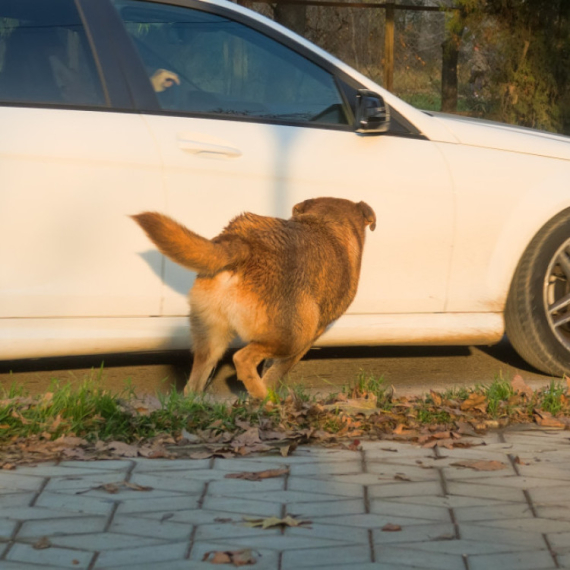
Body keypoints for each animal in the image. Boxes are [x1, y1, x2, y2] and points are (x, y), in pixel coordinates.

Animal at [131, 197, 374, 398]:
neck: (328, 220)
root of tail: (244, 243)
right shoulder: (309, 339)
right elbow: (275, 373)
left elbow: (268, 368)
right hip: (295, 336)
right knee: (242, 359)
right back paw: (265, 401)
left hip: (211, 339)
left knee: (192, 387)